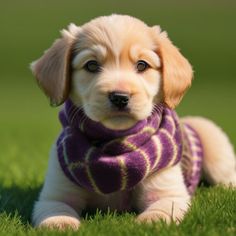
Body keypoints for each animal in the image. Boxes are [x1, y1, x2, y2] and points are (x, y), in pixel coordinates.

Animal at [30, 13, 236, 230]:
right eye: (91, 65)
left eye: (142, 65)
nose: (120, 97)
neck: (117, 145)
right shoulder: (55, 193)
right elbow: (56, 209)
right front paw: (60, 223)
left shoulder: (167, 191)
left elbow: (161, 210)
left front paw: (151, 222)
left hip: (215, 151)